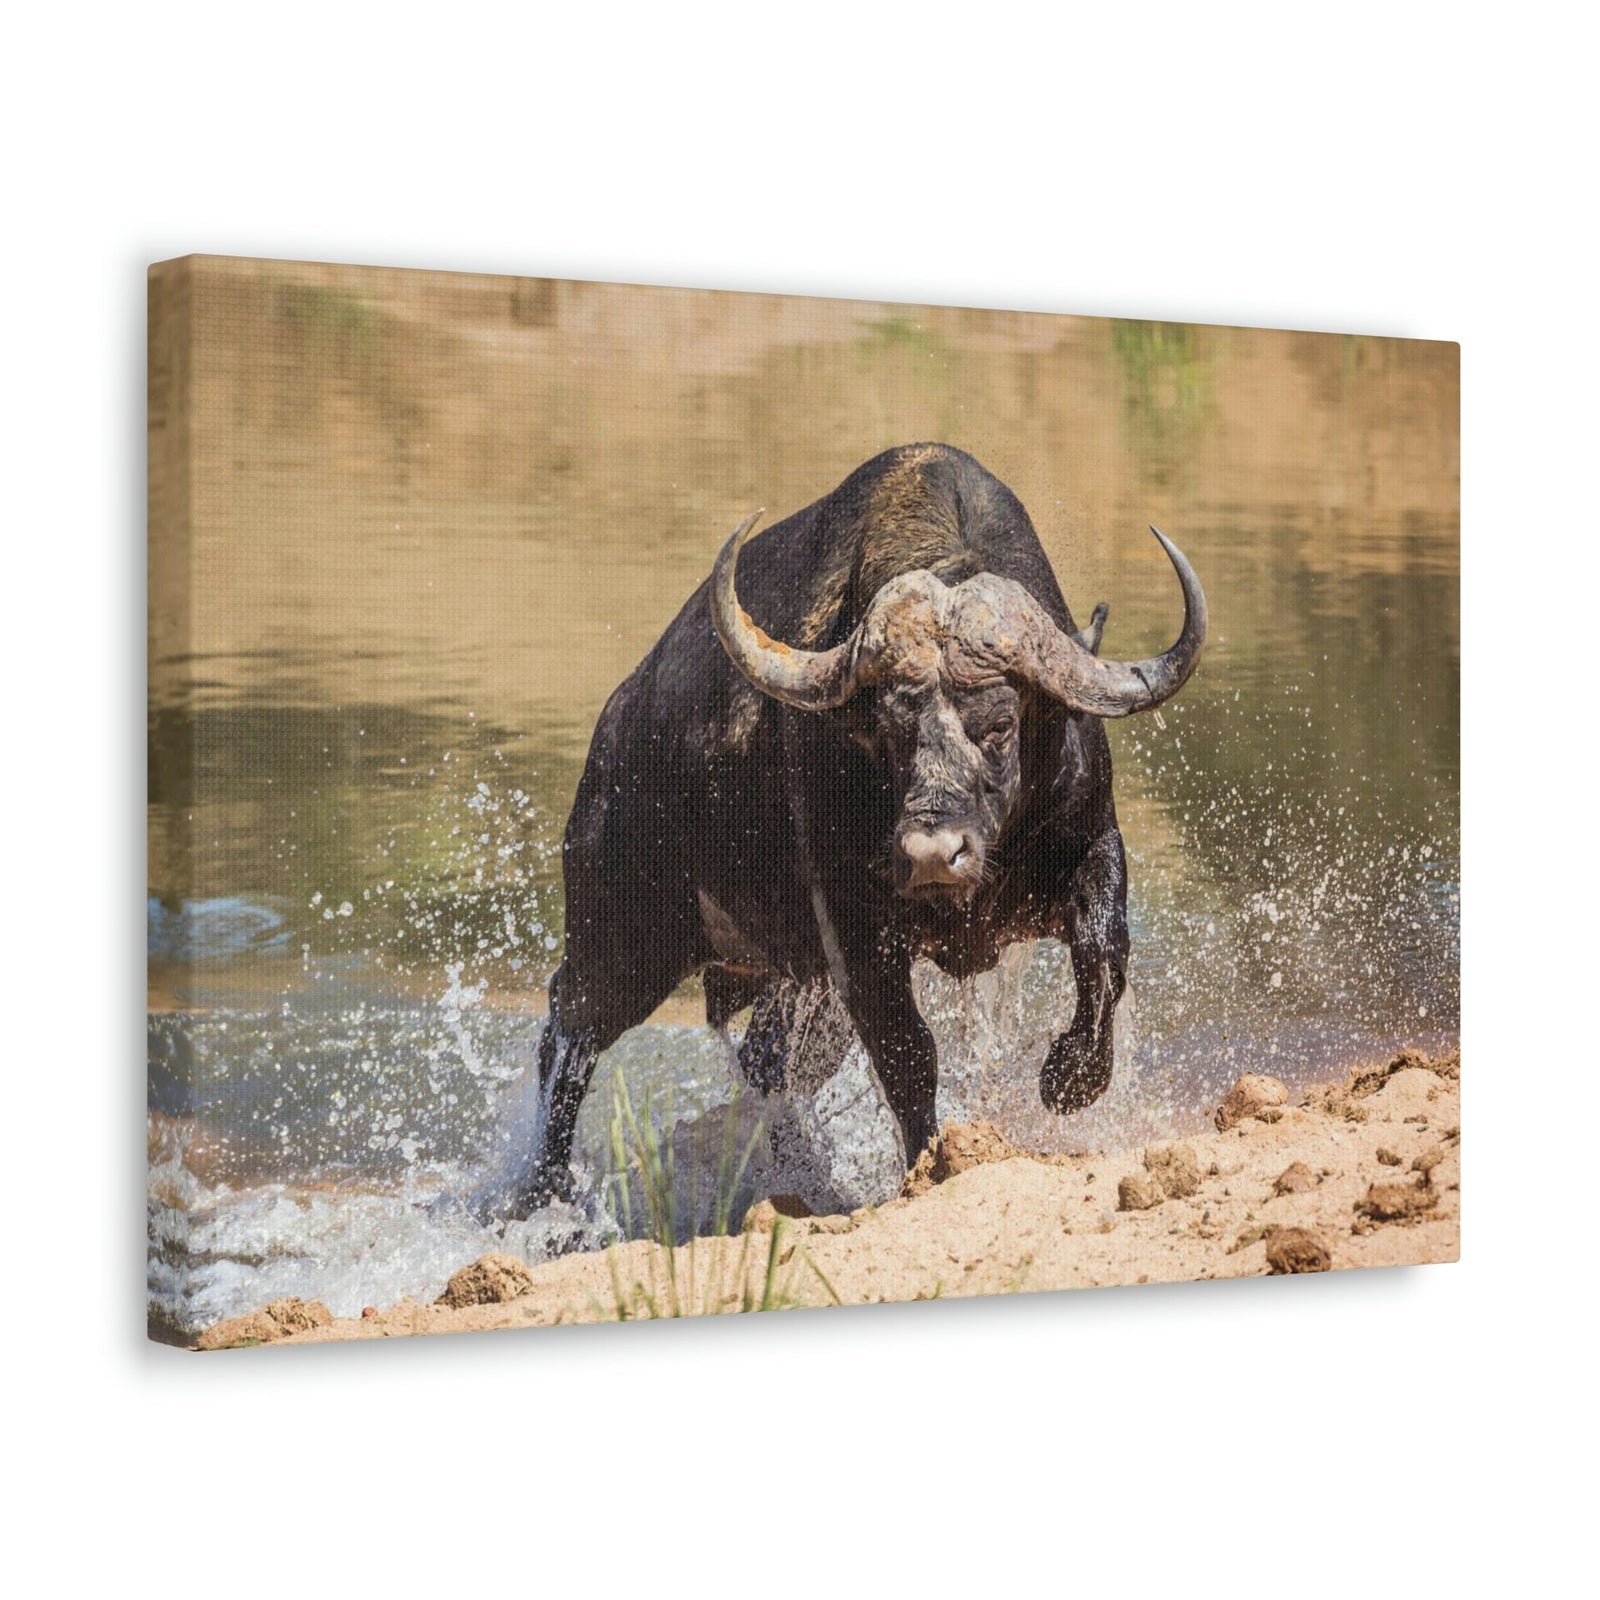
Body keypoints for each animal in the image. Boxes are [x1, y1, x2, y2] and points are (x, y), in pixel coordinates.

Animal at [504, 443, 1206, 1215]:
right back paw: (544, 1198)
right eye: (888, 731)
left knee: (766, 1063)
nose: (932, 854)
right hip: (624, 937)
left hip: (787, 979)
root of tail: (618, 726)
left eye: (1000, 724)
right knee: (568, 1036)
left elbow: (1104, 955)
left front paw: (1071, 1078)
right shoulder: (854, 925)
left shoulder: (1090, 845)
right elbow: (907, 1051)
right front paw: (931, 1162)